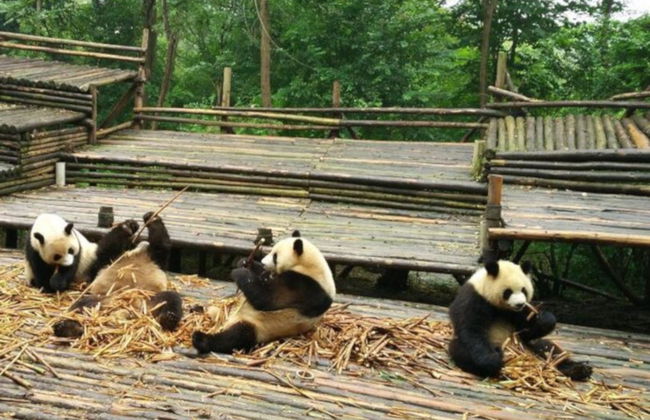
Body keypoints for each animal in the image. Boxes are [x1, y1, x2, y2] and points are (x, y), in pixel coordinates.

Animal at [52, 212, 183, 338]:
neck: (137, 253)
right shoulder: (109, 260)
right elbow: (106, 249)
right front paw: (129, 226)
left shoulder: (156, 259)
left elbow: (161, 245)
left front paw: (151, 218)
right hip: (105, 300)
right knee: (82, 305)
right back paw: (68, 327)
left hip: (149, 299)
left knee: (171, 298)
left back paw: (168, 318)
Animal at [192, 230, 335, 354]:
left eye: (275, 256)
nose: (263, 262)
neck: (310, 267)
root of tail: (226, 323)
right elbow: (262, 278)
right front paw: (245, 262)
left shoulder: (305, 287)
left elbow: (268, 298)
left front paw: (241, 272)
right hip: (226, 312)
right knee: (215, 309)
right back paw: (197, 309)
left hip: (259, 327)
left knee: (236, 336)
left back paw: (201, 339)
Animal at [448, 260, 592, 381]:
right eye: (508, 292)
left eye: (524, 290)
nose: (520, 304)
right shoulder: (474, 298)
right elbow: (471, 330)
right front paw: (492, 360)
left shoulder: (519, 313)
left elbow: (527, 330)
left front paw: (545, 319)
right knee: (462, 352)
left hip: (529, 345)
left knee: (549, 348)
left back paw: (579, 369)